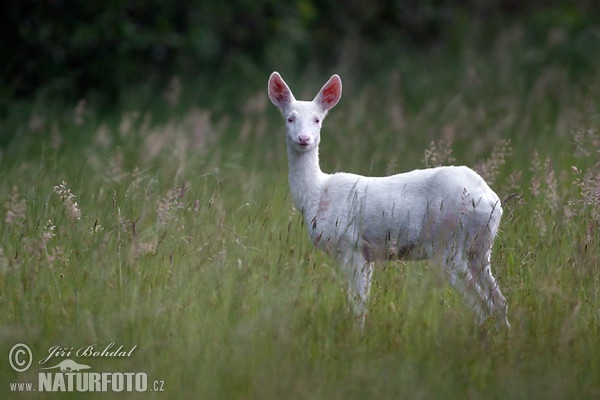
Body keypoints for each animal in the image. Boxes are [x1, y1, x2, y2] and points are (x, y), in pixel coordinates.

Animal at [270, 70, 508, 330]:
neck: (317, 193)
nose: (304, 139)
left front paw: (357, 334)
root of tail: (492, 201)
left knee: (482, 304)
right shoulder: (365, 253)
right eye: (290, 119)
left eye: (317, 120)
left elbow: (358, 304)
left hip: (449, 242)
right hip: (480, 249)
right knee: (498, 301)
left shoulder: (352, 245)